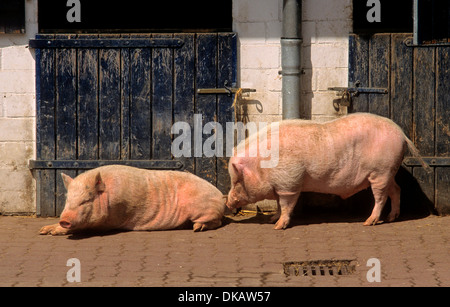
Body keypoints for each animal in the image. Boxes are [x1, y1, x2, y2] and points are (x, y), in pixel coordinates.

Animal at [39, 166, 225, 236]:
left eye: (85, 201)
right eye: (67, 199)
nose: (64, 220)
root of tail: (220, 195)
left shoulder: (109, 220)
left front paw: (53, 232)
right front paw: (43, 230)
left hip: (204, 208)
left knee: (215, 222)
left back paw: (197, 228)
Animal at [227, 112, 430, 229]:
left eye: (237, 180)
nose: (228, 203)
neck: (261, 165)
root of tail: (402, 134)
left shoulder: (290, 182)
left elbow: (286, 205)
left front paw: (277, 226)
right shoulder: (281, 185)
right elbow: (278, 204)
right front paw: (272, 220)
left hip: (380, 172)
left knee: (381, 197)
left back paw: (368, 222)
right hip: (388, 172)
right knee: (396, 190)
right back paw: (391, 218)